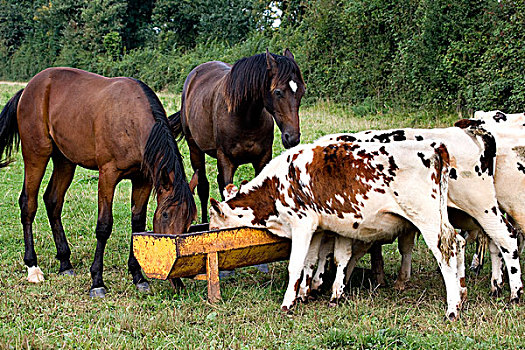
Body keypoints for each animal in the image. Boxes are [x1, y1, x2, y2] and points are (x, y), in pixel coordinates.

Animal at [0, 68, 196, 298]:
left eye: (189, 221)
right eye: (165, 215)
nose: (176, 279)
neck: (131, 120)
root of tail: (28, 88)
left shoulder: (143, 180)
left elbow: (137, 224)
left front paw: (138, 277)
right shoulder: (107, 176)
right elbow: (104, 226)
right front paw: (97, 281)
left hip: (65, 161)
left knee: (53, 201)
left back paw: (65, 262)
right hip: (36, 153)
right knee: (28, 204)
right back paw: (33, 267)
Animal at [170, 48, 304, 221]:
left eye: (301, 92)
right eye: (278, 92)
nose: (292, 138)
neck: (246, 118)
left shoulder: (263, 158)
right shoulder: (226, 160)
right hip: (195, 149)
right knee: (203, 187)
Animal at [209, 138, 462, 322]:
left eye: (212, 219)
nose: (209, 230)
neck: (277, 184)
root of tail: (434, 146)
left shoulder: (302, 223)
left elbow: (295, 265)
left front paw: (288, 302)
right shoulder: (319, 228)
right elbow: (311, 261)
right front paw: (306, 293)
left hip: (428, 220)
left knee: (445, 254)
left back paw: (452, 309)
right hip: (440, 220)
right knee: (457, 241)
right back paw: (461, 295)